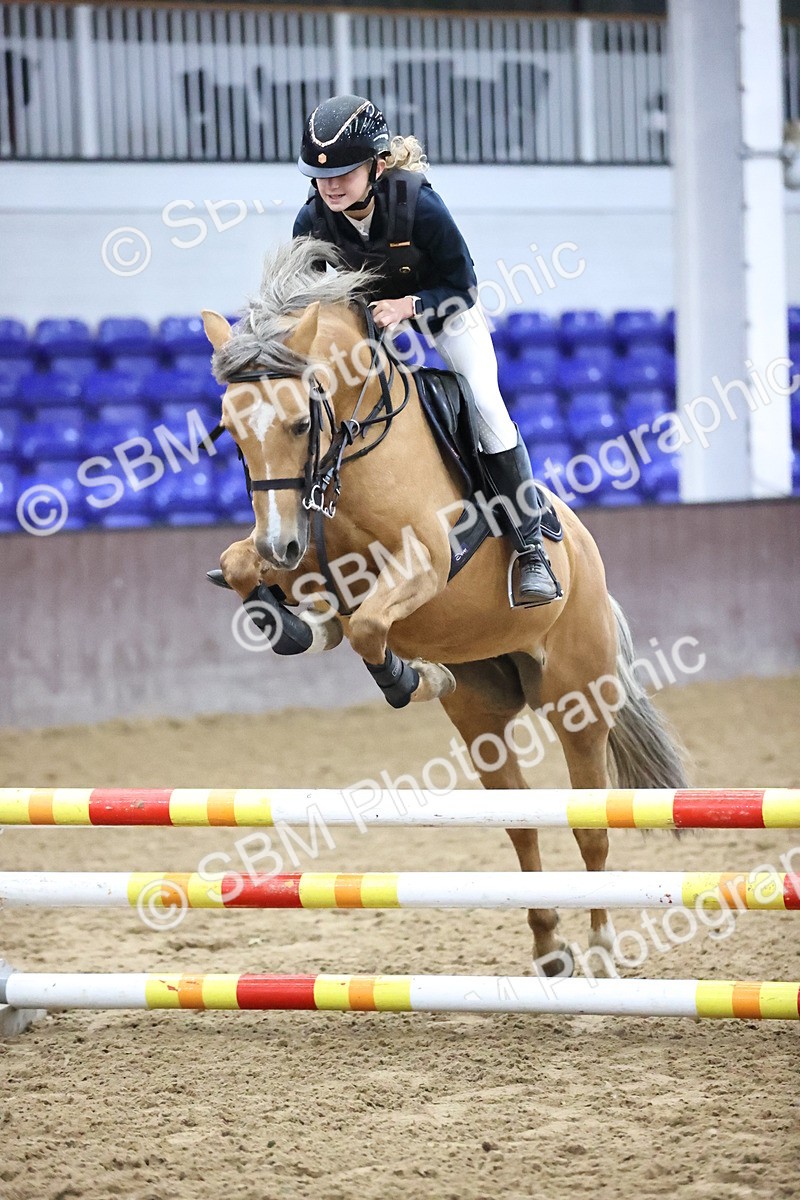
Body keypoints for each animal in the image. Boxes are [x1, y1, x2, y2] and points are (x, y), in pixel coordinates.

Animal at [201, 237, 687, 977]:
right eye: (231, 433)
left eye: (298, 420)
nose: (279, 543)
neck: (355, 446)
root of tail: (590, 562)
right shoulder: (311, 553)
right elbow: (246, 573)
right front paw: (296, 625)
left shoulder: (425, 562)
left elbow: (371, 624)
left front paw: (411, 676)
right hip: (484, 714)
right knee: (519, 822)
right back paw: (550, 947)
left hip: (578, 702)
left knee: (589, 825)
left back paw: (603, 948)